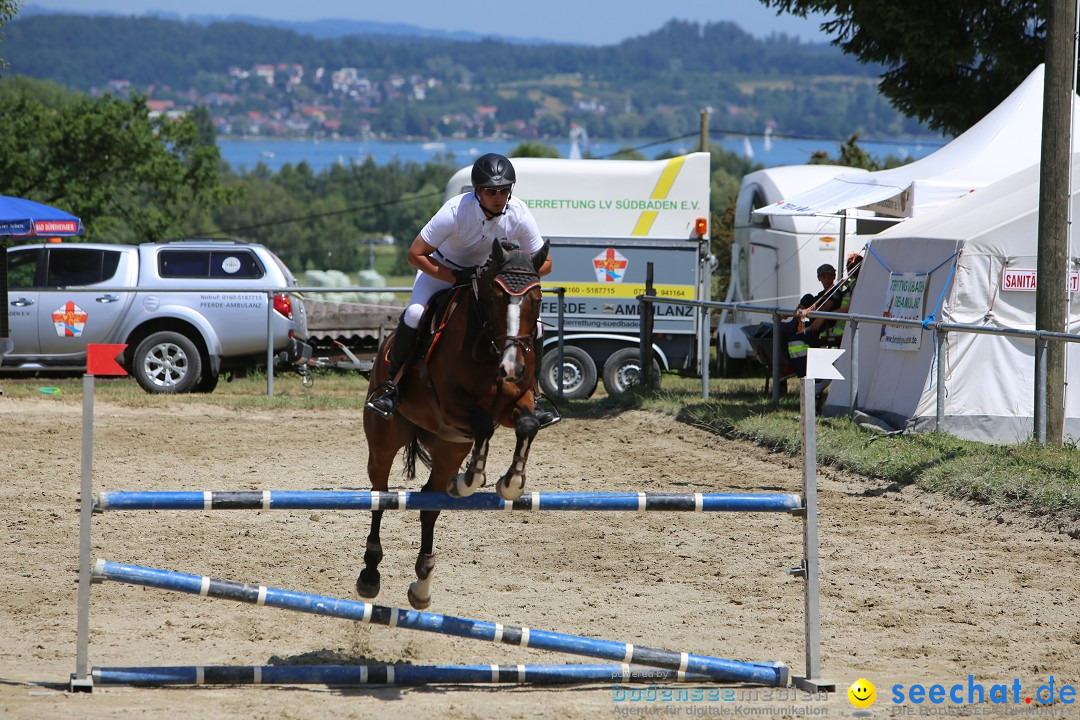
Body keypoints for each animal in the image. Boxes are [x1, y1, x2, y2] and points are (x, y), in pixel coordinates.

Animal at [360, 239, 548, 613]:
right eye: (496, 297)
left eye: (536, 299)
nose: (512, 367)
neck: (491, 348)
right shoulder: (451, 405)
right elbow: (484, 425)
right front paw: (471, 480)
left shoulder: (517, 401)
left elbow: (528, 425)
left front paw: (510, 483)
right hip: (384, 441)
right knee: (380, 494)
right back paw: (370, 573)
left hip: (448, 447)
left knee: (428, 501)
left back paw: (422, 583)